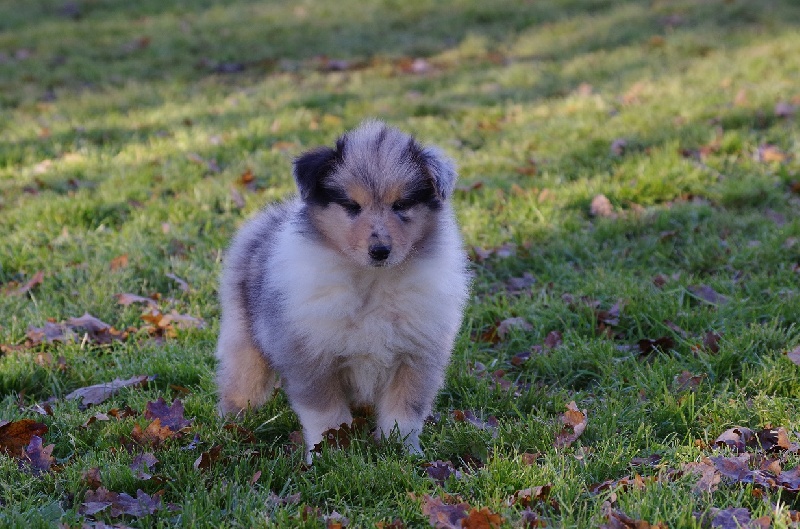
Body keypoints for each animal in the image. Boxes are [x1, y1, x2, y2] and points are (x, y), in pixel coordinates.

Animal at [216, 119, 472, 458]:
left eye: (402, 204)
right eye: (352, 205)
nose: (380, 251)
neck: (371, 282)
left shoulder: (417, 355)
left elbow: (404, 412)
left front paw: (402, 452)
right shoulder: (312, 355)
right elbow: (325, 414)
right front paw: (330, 453)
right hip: (245, 341)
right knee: (241, 382)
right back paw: (231, 425)